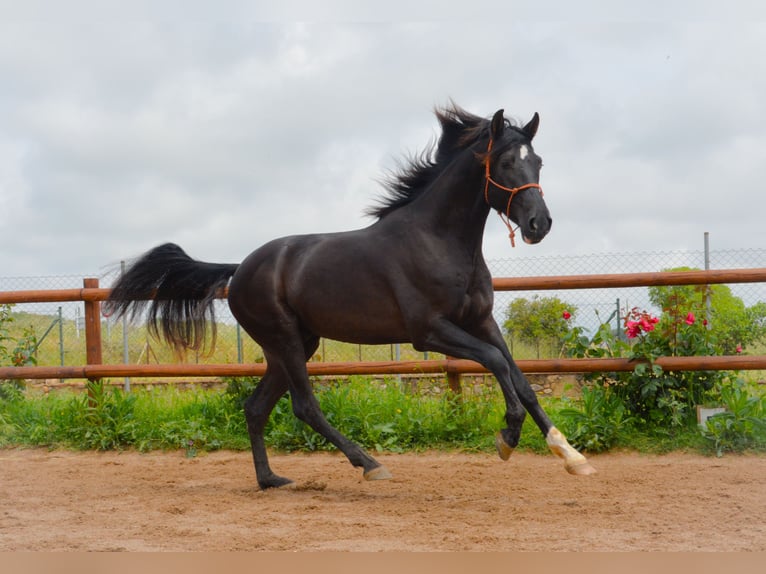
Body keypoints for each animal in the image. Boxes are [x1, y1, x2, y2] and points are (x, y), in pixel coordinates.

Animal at [104, 104, 596, 489]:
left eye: (539, 162)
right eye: (507, 162)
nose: (539, 225)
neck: (439, 240)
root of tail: (239, 268)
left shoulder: (481, 321)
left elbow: (521, 379)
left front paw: (571, 456)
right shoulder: (429, 331)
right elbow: (496, 364)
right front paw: (506, 439)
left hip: (295, 345)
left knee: (256, 407)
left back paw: (271, 480)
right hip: (284, 340)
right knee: (304, 406)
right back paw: (369, 464)